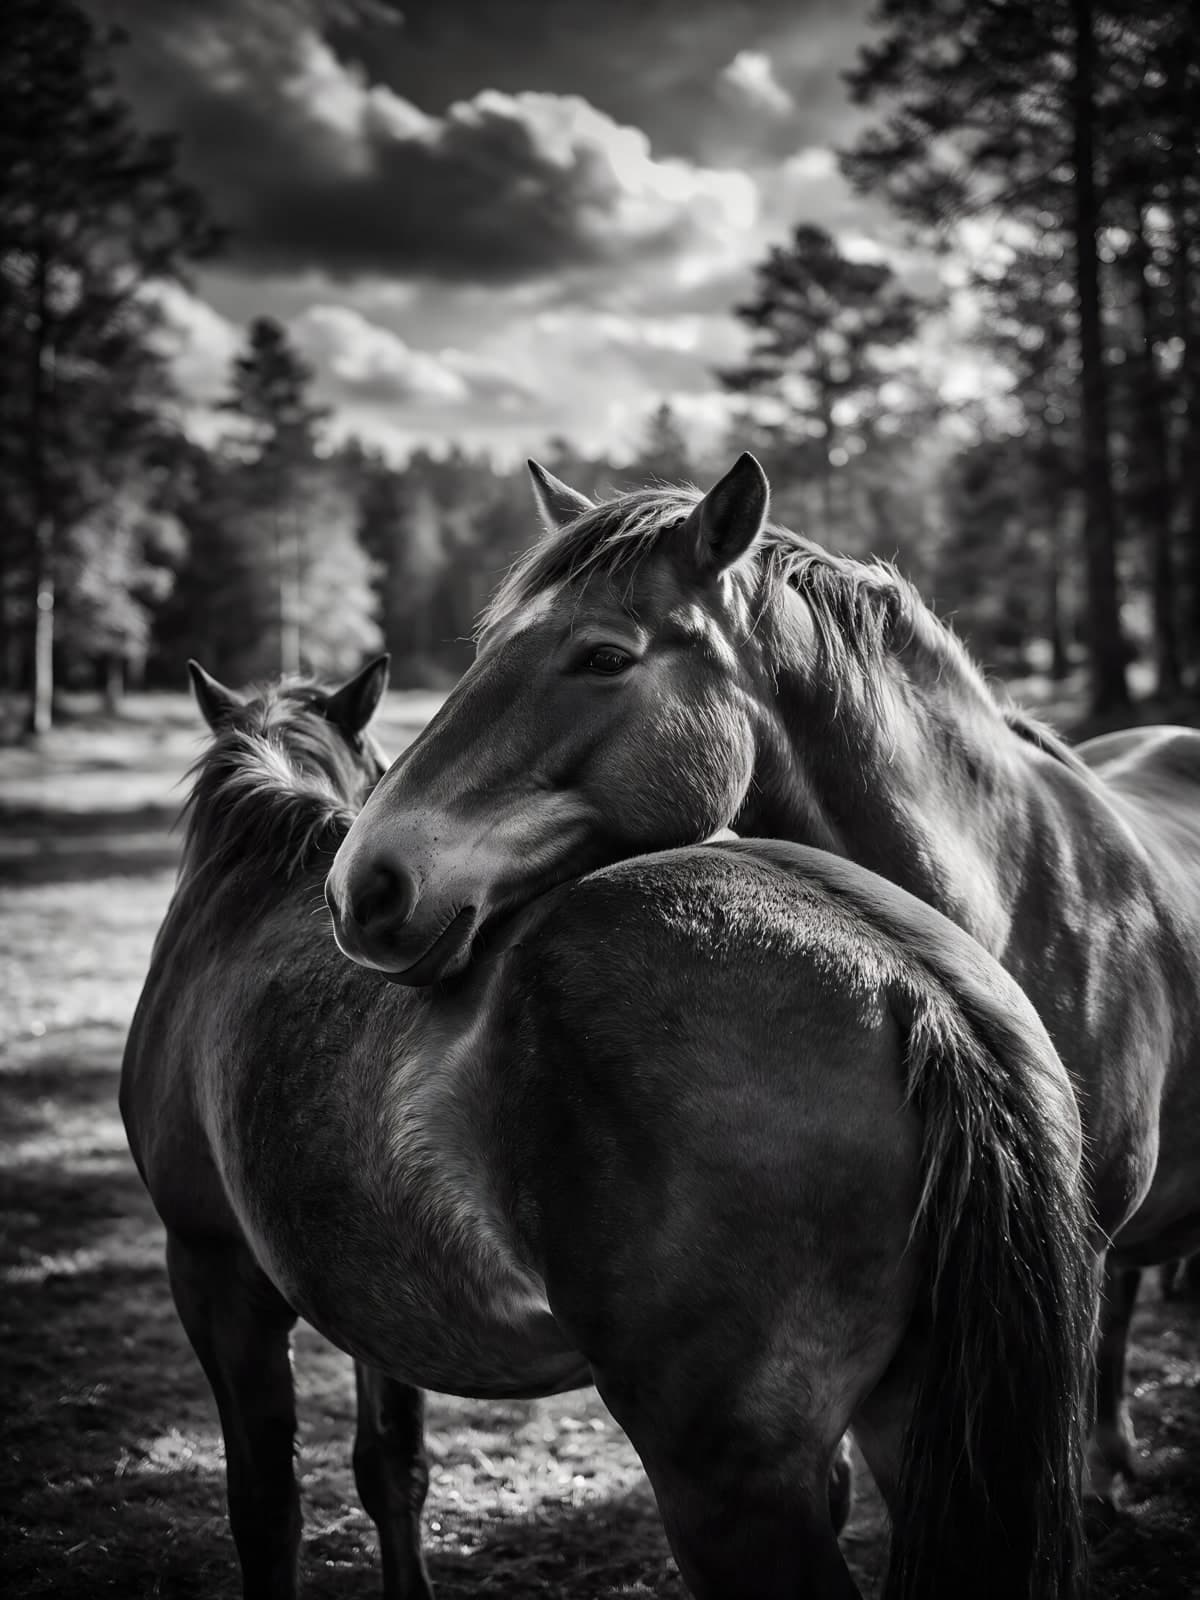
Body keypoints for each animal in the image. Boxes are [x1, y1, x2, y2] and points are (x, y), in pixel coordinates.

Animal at [122, 657, 1092, 1600]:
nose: (373, 901)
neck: (248, 890)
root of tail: (903, 981)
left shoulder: (214, 1273)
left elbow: (266, 1506)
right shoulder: (373, 1310)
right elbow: (391, 1469)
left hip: (728, 1483)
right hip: (913, 1418)